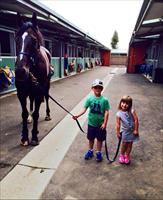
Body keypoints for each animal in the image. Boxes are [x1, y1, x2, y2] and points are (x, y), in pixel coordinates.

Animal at [15, 13, 51, 146]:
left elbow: (36, 113)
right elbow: (24, 113)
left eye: (34, 40)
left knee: (46, 98)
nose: (20, 71)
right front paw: (25, 137)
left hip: (46, 86)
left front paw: (34, 136)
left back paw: (47, 115)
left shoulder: (39, 92)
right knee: (30, 101)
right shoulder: (21, 92)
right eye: (16, 39)